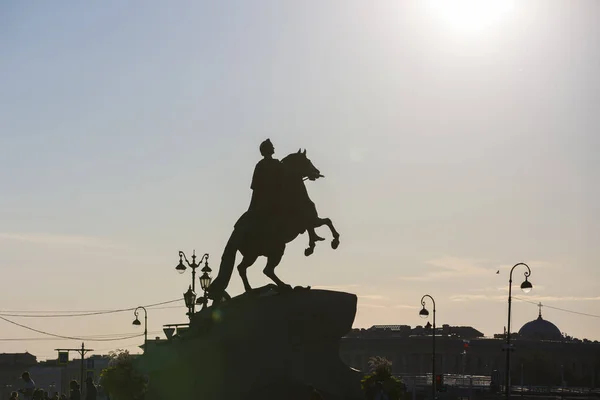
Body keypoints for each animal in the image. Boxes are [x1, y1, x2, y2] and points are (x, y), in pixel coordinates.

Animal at [205, 150, 338, 304]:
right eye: (307, 161)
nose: (317, 172)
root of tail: (237, 232)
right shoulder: (311, 220)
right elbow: (328, 222)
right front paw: (334, 241)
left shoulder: (309, 222)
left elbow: (315, 230)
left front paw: (312, 245)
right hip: (276, 249)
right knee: (266, 270)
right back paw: (283, 287)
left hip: (252, 254)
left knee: (242, 268)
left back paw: (252, 290)